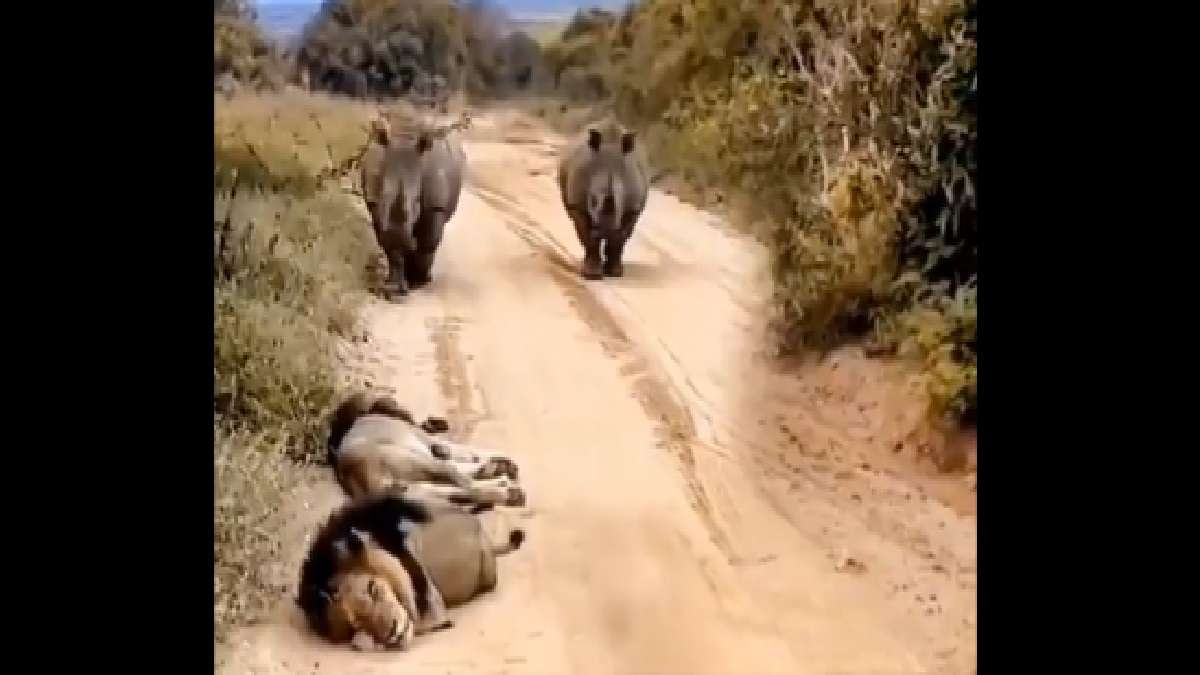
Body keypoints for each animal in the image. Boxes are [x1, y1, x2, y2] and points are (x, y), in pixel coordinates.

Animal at [326, 389, 523, 509]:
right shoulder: (429, 443)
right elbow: (470, 453)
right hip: (419, 462)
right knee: (467, 485)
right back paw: (505, 489)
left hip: (421, 486)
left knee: (457, 490)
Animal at [357, 114, 465, 295]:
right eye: (382, 198)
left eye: (416, 202)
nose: (395, 234)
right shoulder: (374, 202)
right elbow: (390, 249)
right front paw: (393, 289)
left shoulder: (435, 206)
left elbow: (428, 243)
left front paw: (418, 282)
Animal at [554, 118, 648, 278]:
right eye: (592, 200)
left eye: (622, 200)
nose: (606, 231)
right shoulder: (577, 205)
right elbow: (588, 238)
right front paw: (592, 274)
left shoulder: (633, 208)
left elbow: (620, 239)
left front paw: (615, 273)